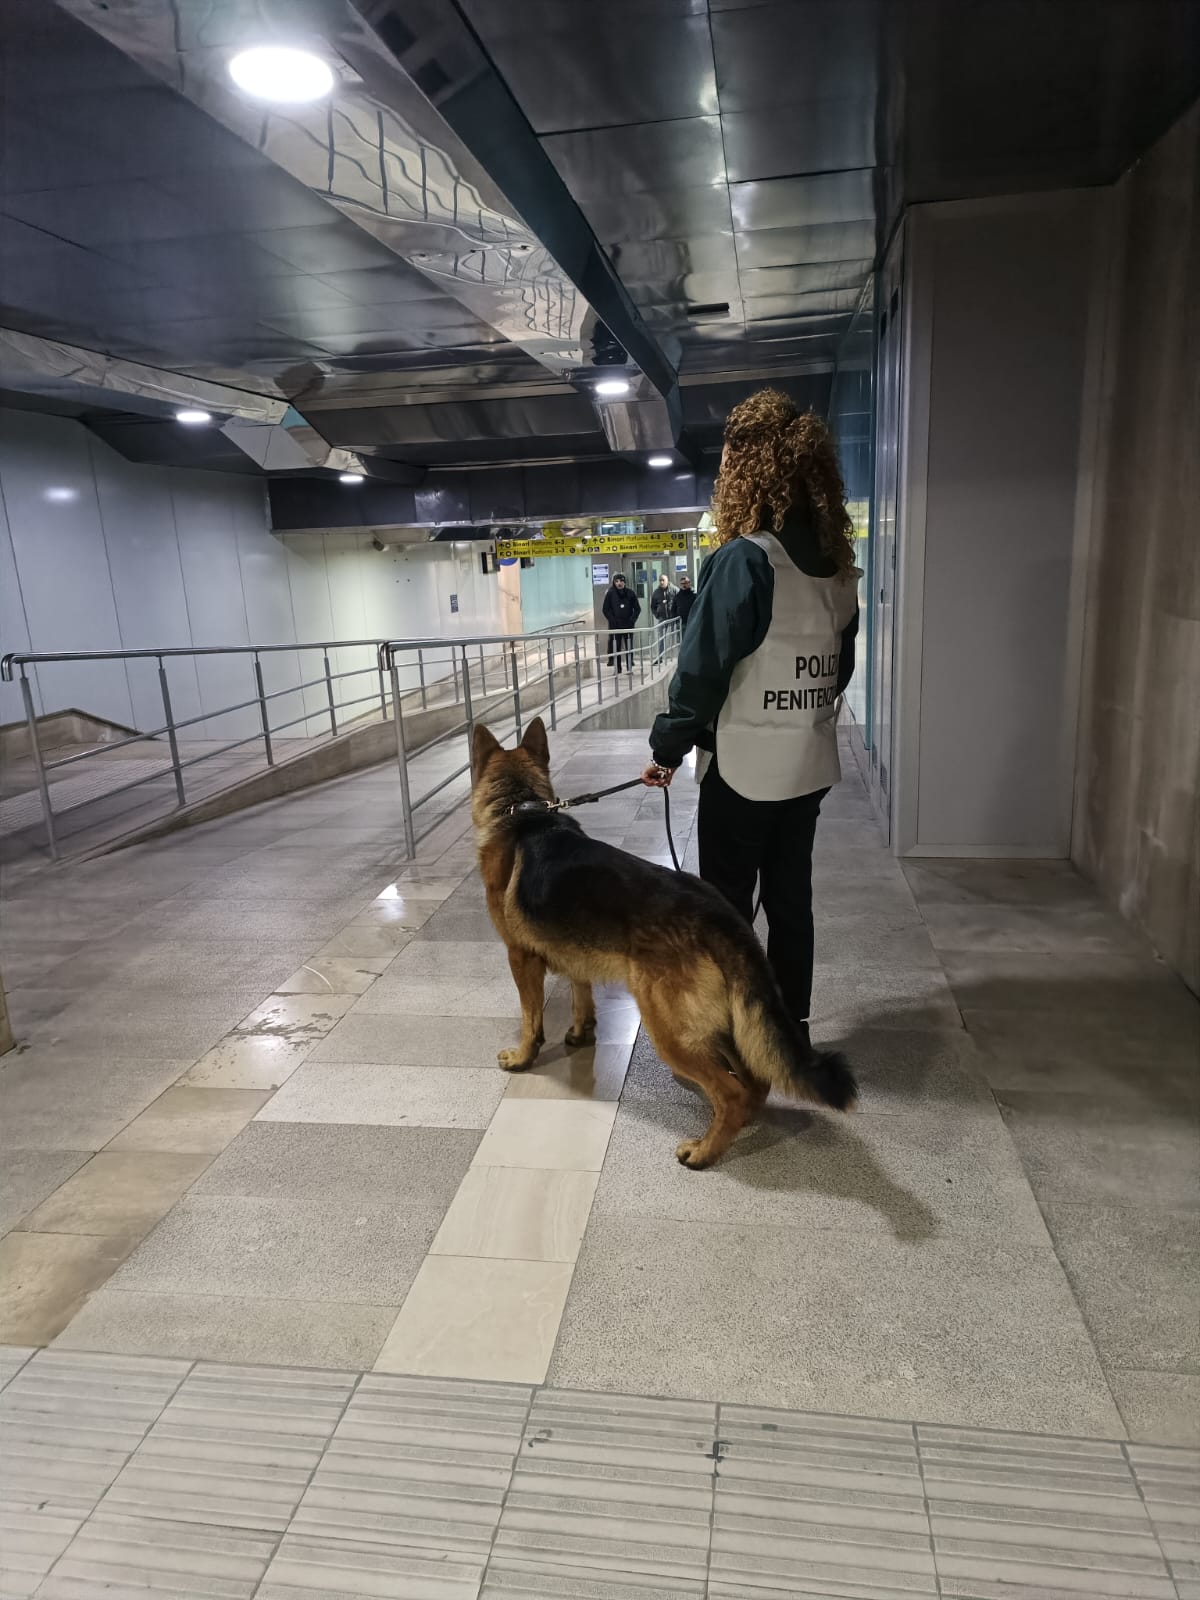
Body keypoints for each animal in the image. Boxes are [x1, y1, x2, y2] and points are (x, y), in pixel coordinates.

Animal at [473, 720, 857, 1171]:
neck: (522, 810)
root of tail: (718, 915)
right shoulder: (574, 951)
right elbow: (581, 992)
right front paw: (581, 1032)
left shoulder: (520, 957)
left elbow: (531, 1018)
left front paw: (523, 1056)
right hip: (719, 1025)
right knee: (754, 1081)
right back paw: (732, 1128)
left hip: (669, 1030)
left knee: (731, 1091)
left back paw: (704, 1152)